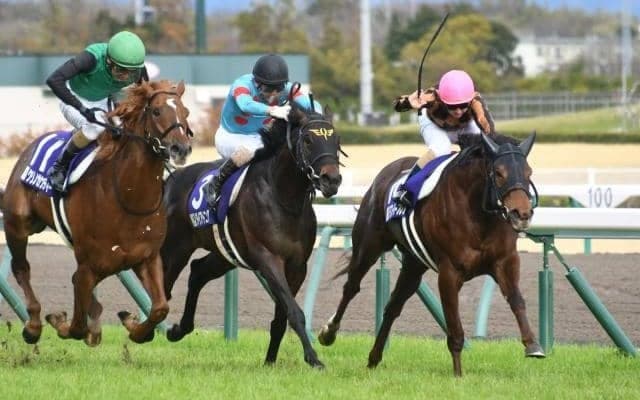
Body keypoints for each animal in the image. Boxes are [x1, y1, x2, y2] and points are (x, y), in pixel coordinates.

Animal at [1, 80, 193, 345]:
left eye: (186, 112)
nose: (180, 149)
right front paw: (61, 322)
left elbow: (160, 307)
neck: (128, 199)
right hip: (17, 225)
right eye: (156, 111)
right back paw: (33, 325)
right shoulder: (88, 266)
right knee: (22, 268)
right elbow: (76, 326)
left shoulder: (147, 257)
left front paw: (133, 325)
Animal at [160, 103, 343, 368]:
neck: (284, 198)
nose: (332, 180)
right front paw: (314, 359)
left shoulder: (297, 265)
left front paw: (270, 361)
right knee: (163, 285)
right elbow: (295, 312)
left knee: (197, 271)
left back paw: (178, 330)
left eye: (336, 140)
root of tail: (170, 180)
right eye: (308, 140)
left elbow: (283, 315)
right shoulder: (268, 258)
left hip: (225, 253)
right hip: (174, 249)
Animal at [317, 132, 544, 376]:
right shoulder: (449, 272)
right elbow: (454, 328)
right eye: (499, 173)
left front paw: (533, 345)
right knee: (351, 287)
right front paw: (458, 375)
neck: (479, 214)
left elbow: (516, 300)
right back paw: (328, 333)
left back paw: (374, 358)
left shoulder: (505, 261)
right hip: (368, 247)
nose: (522, 214)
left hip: (413, 265)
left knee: (393, 306)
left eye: (529, 172)